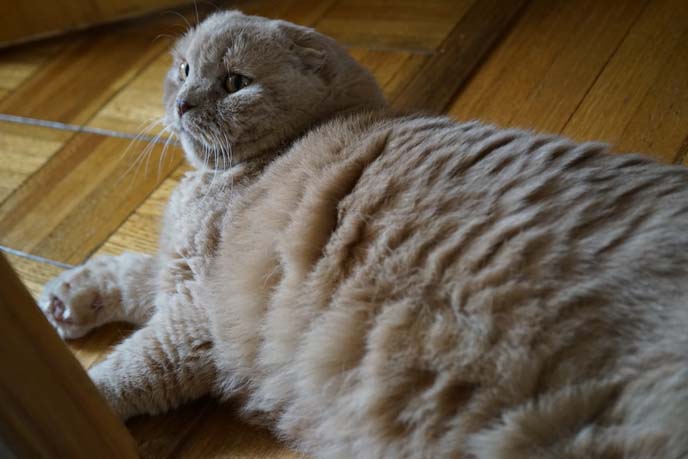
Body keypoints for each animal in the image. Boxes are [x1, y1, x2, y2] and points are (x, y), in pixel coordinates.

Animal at [39, 10, 688, 459]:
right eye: (184, 69)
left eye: (234, 82)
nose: (182, 103)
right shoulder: (180, 275)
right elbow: (131, 270)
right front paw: (68, 300)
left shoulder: (196, 317)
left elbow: (129, 367)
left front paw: (78, 401)